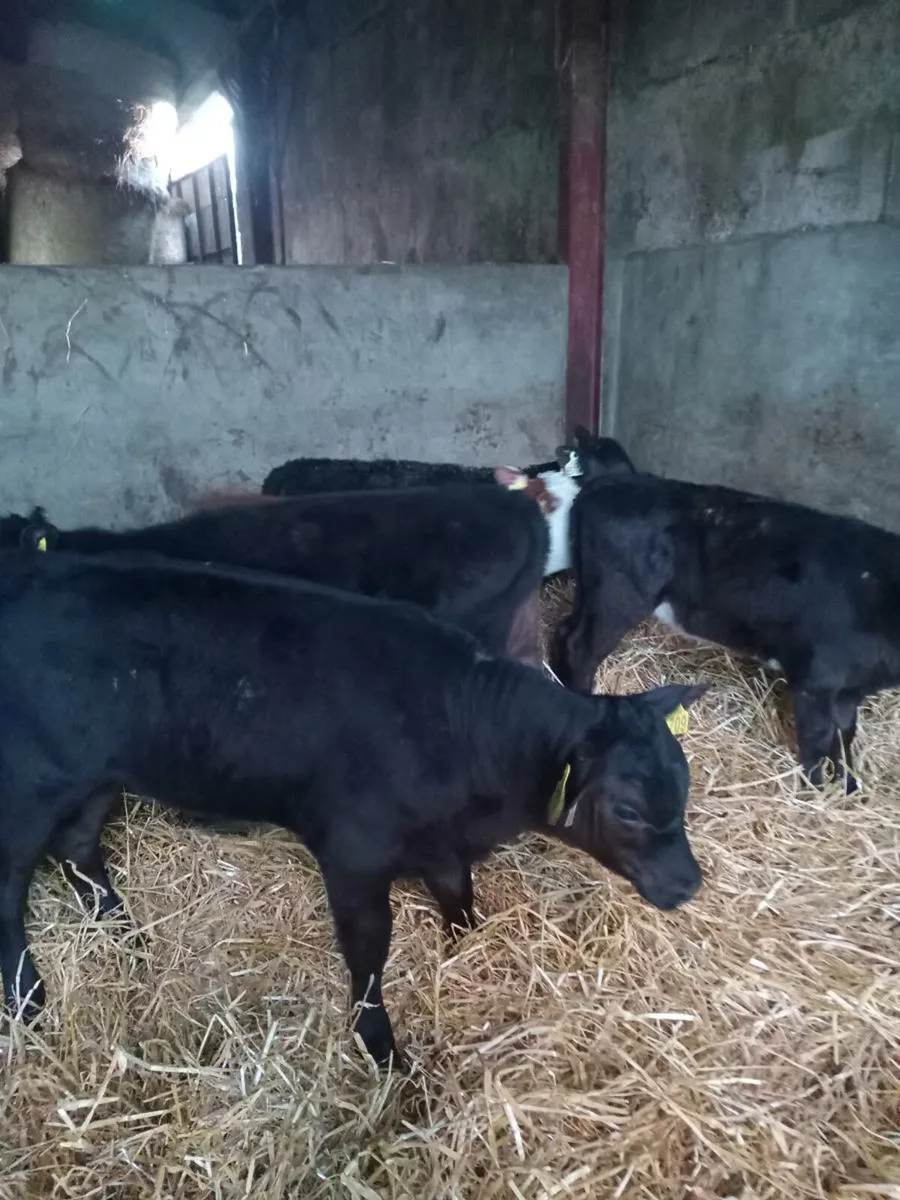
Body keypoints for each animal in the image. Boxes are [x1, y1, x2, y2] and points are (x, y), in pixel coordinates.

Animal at [0, 550, 706, 1067]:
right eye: (628, 811)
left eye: (684, 784)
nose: (688, 884)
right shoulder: (353, 855)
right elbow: (368, 953)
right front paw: (382, 1047)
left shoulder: (440, 842)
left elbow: (458, 891)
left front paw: (464, 945)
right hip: (28, 788)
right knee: (12, 887)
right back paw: (28, 999)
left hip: (96, 775)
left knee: (78, 845)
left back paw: (123, 933)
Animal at [551, 472, 900, 793]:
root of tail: (609, 481)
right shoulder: (815, 682)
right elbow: (818, 740)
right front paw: (814, 792)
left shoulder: (848, 690)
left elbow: (845, 737)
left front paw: (850, 790)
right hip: (618, 597)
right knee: (581, 648)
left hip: (590, 593)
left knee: (565, 631)